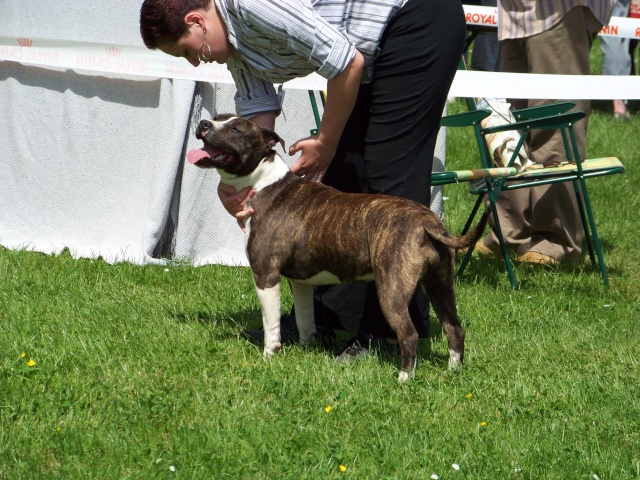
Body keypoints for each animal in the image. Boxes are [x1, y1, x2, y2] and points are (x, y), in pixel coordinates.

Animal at [188, 113, 488, 382]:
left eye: (236, 129)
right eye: (218, 117)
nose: (204, 123)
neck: (264, 181)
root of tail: (427, 222)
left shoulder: (265, 276)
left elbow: (270, 325)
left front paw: (268, 357)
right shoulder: (300, 281)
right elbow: (305, 318)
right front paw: (305, 347)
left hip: (392, 287)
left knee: (409, 333)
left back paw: (404, 378)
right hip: (440, 283)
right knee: (454, 329)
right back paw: (453, 371)